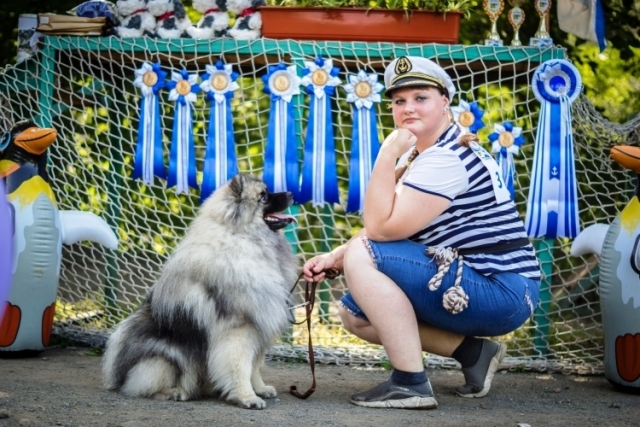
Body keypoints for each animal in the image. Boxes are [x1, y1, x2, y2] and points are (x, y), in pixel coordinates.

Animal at [102, 174, 299, 409]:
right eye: (263, 196)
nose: (291, 193)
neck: (243, 237)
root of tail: (119, 373)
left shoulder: (259, 329)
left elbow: (254, 366)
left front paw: (259, 389)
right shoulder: (239, 329)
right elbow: (241, 366)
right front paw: (248, 397)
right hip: (167, 356)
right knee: (141, 385)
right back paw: (174, 392)